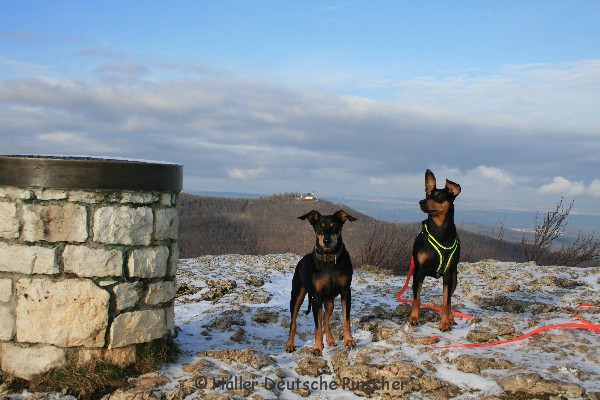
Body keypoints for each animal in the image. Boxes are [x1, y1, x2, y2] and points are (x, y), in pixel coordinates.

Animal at [286, 209, 356, 356]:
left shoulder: (346, 291)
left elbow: (345, 320)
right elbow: (317, 326)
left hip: (329, 301)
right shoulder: (317, 297)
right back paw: (290, 345)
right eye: (319, 227)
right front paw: (317, 347)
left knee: (326, 319)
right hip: (297, 296)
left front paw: (349, 340)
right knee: (293, 322)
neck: (328, 259)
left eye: (334, 226)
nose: (327, 241)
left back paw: (330, 339)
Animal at [410, 169, 462, 332]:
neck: (439, 232)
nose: (421, 202)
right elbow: (416, 297)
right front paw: (413, 318)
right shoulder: (418, 271)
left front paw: (444, 322)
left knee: (449, 299)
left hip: (454, 278)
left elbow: (446, 301)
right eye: (427, 195)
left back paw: (450, 318)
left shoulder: (448, 274)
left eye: (439, 196)